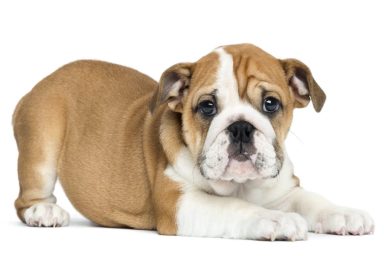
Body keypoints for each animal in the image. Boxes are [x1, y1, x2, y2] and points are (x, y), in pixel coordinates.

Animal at [13, 43, 374, 240]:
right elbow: (234, 207)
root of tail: (38, 85)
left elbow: (310, 200)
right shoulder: (180, 203)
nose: (241, 128)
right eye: (207, 107)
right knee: (26, 198)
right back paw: (44, 212)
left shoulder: (282, 190)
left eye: (271, 104)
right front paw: (275, 219)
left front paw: (343, 214)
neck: (240, 186)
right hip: (41, 147)